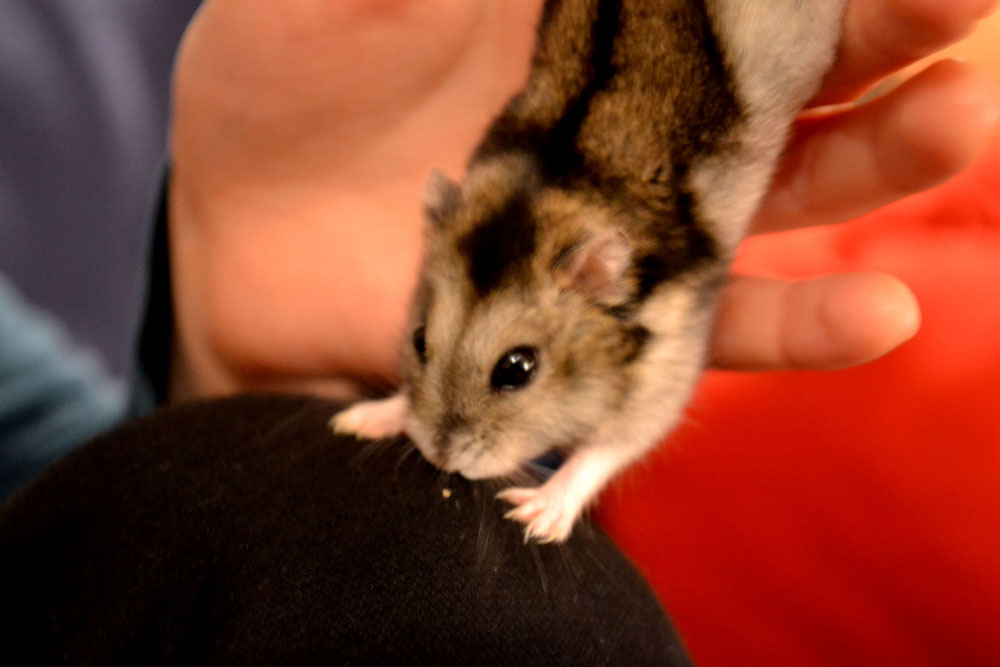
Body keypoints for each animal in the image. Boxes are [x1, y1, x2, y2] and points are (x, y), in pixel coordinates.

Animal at [332, 0, 845, 543]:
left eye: (516, 369)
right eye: (419, 340)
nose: (441, 456)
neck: (556, 190)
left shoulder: (665, 371)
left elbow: (610, 446)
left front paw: (533, 518)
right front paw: (356, 420)